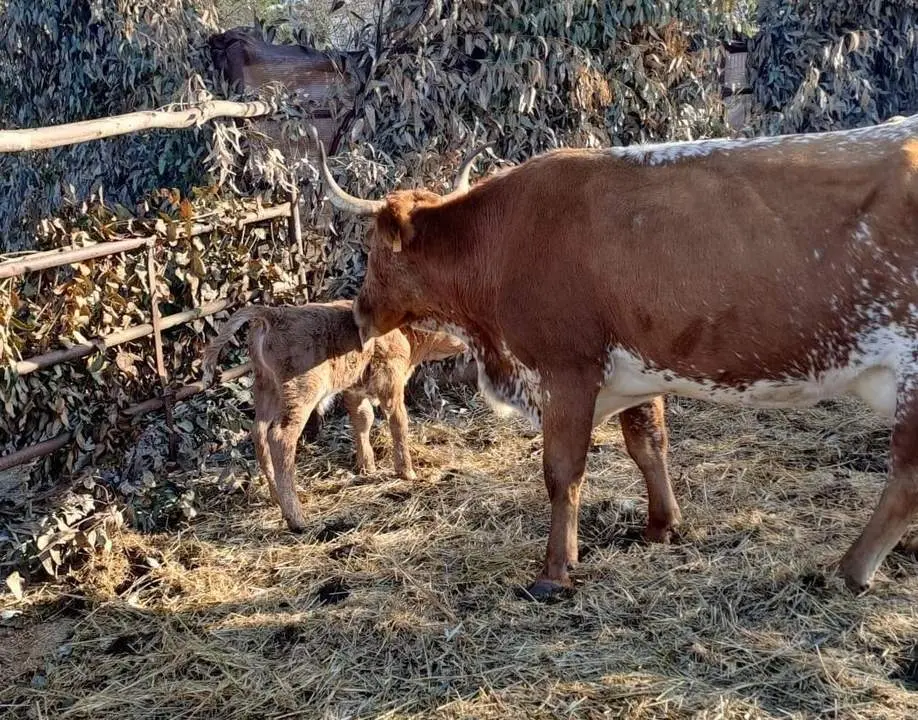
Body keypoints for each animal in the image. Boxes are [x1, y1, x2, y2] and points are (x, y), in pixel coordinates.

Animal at [201, 300, 465, 531]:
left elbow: (363, 420)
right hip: (300, 393)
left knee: (259, 433)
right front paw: (407, 472)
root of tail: (274, 314)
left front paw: (367, 466)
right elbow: (398, 424)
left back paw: (276, 497)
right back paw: (296, 518)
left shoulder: (355, 390)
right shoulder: (391, 385)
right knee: (280, 438)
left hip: (267, 389)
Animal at [311, 116, 918, 599]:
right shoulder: (634, 373)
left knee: (905, 476)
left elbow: (563, 472)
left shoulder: (566, 371)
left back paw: (850, 570)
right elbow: (647, 445)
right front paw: (661, 526)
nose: (359, 314)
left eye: (373, 250)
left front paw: (555, 572)